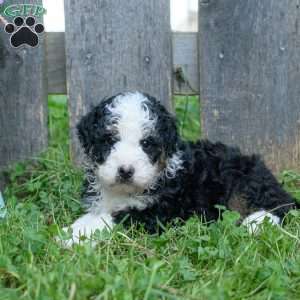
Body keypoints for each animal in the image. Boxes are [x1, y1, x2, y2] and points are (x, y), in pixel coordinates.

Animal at [62, 92, 298, 245]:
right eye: (109, 140)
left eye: (146, 144)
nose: (126, 171)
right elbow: (97, 214)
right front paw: (73, 230)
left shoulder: (161, 212)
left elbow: (114, 218)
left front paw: (74, 235)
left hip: (247, 181)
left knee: (280, 207)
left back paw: (254, 223)